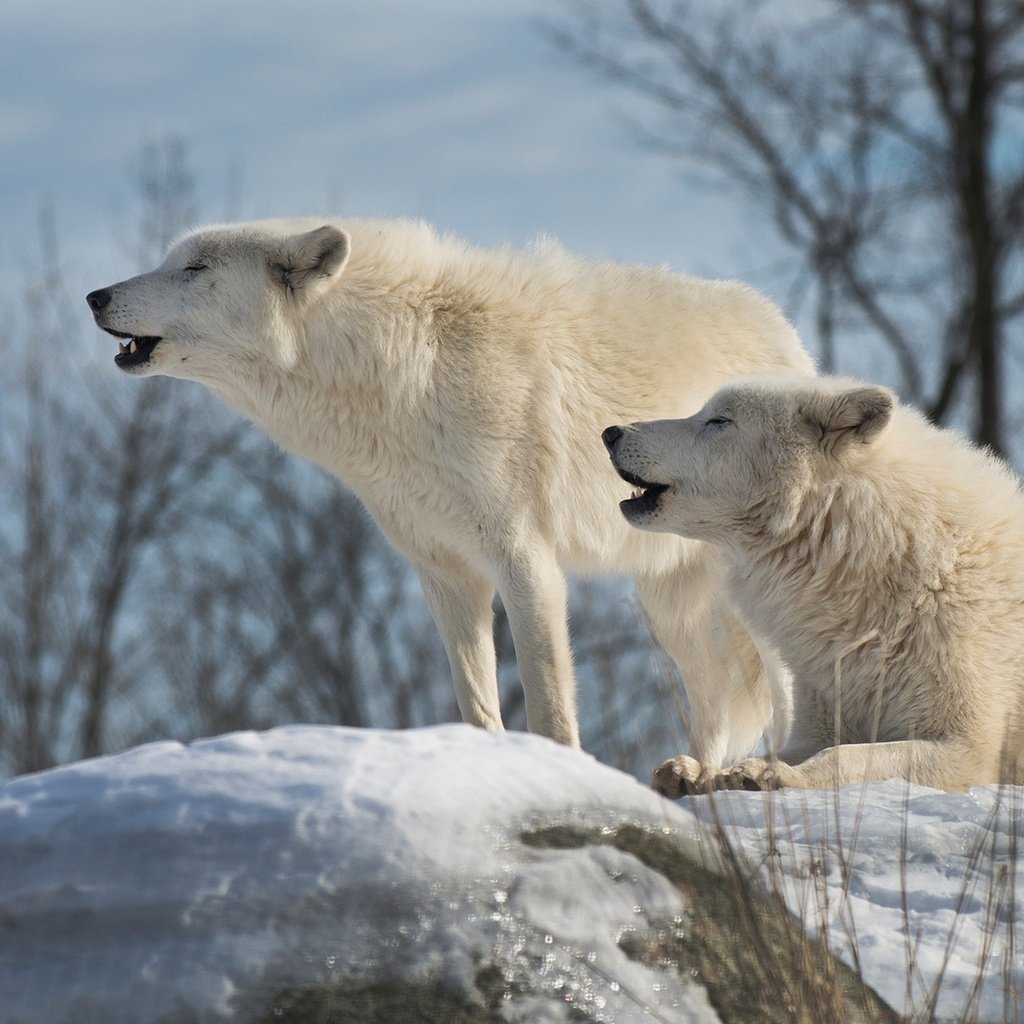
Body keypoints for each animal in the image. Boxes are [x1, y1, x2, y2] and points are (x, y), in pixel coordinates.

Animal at [88, 220, 811, 757]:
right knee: (716, 703)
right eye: (172, 261)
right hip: (669, 602)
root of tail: (785, 331)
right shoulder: (444, 571)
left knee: (778, 688)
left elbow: (550, 707)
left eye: (194, 268)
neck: (406, 373)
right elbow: (477, 704)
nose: (95, 296)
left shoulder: (525, 557)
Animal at [602, 376, 1024, 790]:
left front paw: (775, 777)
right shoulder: (821, 719)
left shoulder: (966, 747)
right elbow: (789, 750)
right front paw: (700, 773)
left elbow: (845, 757)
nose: (609, 433)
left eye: (719, 420)